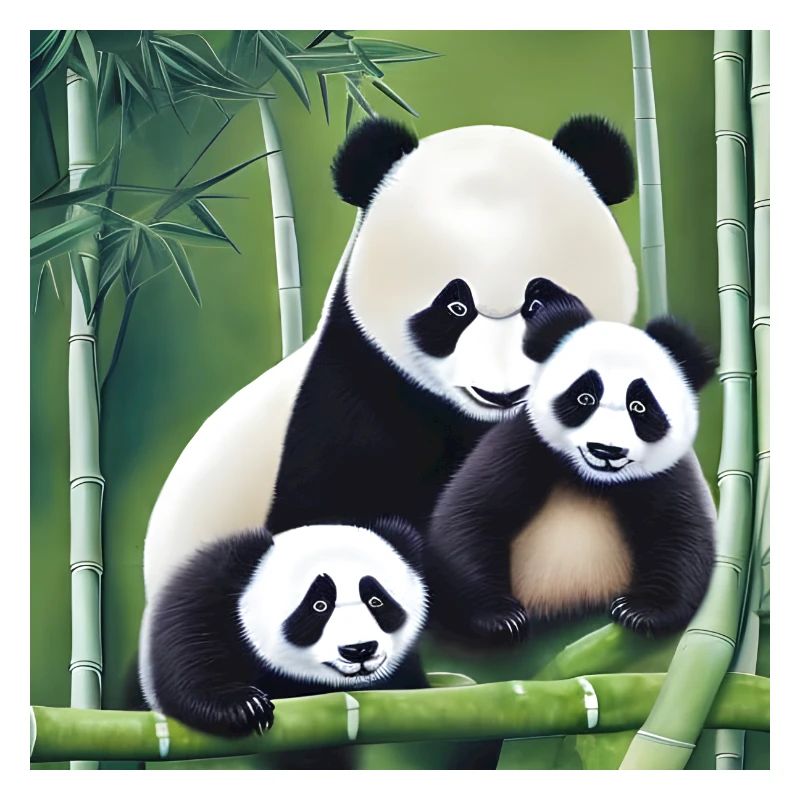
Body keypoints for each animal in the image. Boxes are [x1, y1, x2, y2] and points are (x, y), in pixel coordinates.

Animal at [140, 518, 428, 737]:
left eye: (376, 600)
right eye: (319, 606)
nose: (359, 650)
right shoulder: (202, 598)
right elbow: (188, 652)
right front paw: (246, 706)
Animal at [427, 283, 717, 642]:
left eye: (639, 406)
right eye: (584, 397)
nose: (606, 450)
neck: (589, 481)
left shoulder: (667, 472)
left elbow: (682, 533)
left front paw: (641, 611)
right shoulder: (521, 445)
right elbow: (468, 517)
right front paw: (501, 618)